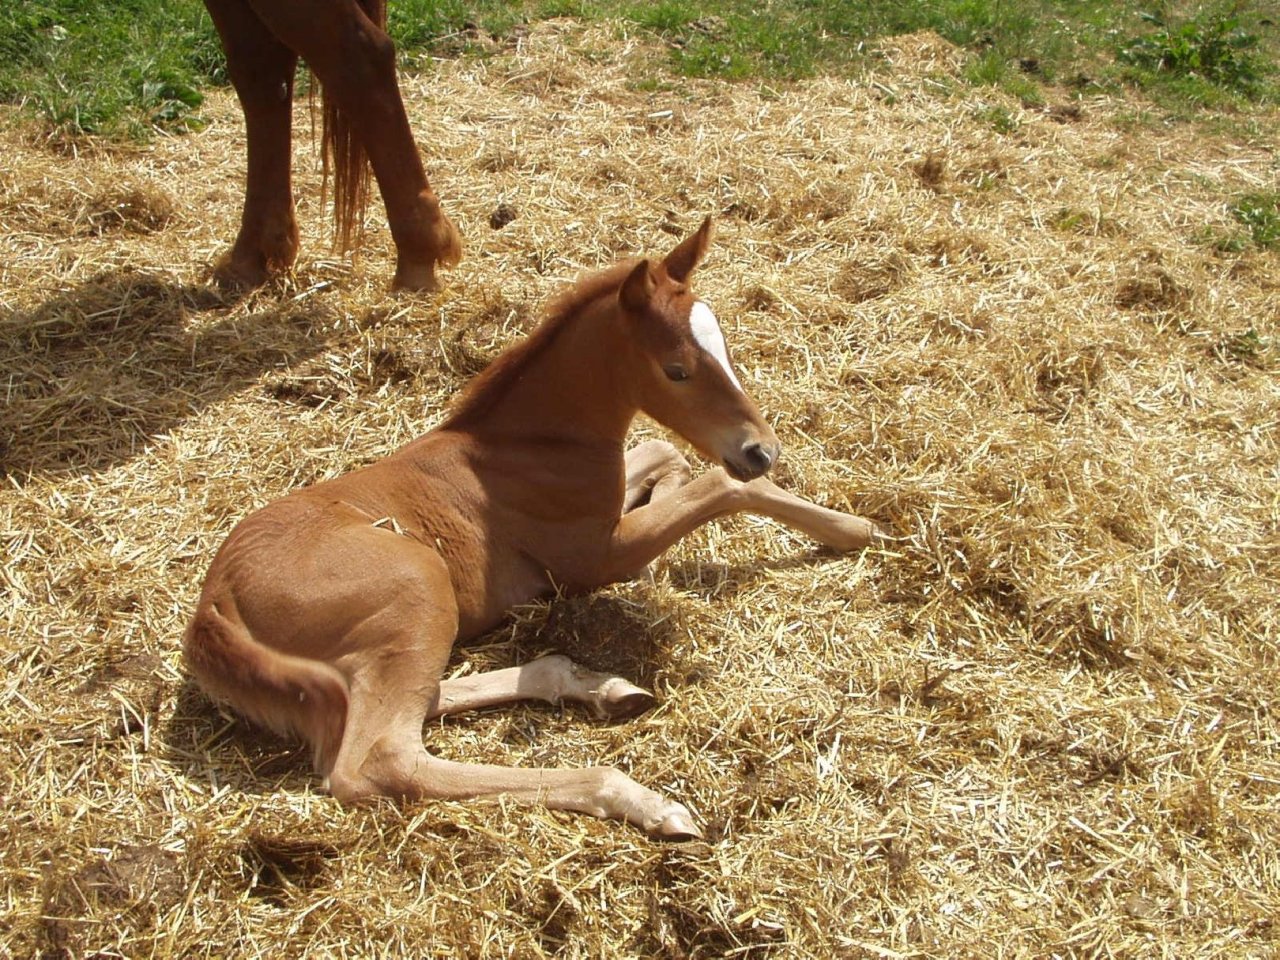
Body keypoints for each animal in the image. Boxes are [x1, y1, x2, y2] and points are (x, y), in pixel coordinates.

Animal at [183, 221, 880, 839]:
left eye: (726, 348)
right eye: (676, 369)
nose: (761, 449)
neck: (527, 443)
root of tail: (214, 604)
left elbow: (667, 452)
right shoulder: (596, 557)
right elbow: (721, 485)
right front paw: (853, 528)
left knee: (419, 703)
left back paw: (599, 686)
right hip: (418, 585)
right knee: (380, 760)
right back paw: (637, 797)